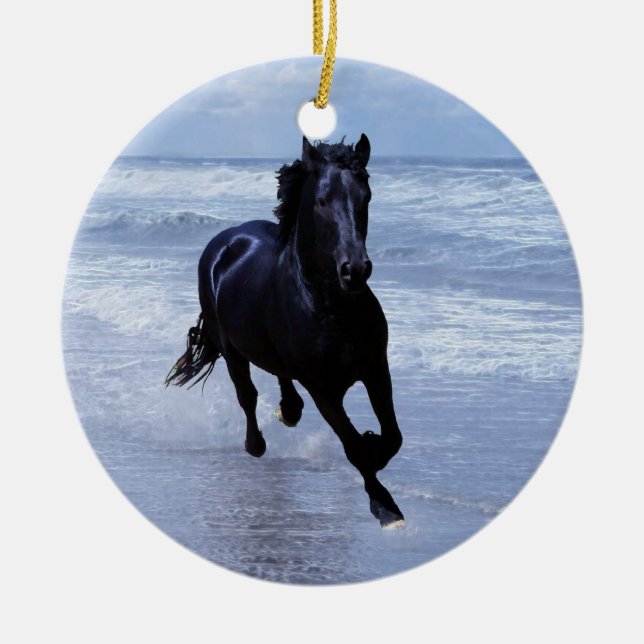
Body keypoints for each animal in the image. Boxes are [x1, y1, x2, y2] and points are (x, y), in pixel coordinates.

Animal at [165, 135, 404, 528]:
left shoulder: (376, 370)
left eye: (366, 196)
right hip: (230, 347)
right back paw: (256, 444)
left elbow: (393, 437)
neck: (329, 306)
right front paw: (385, 508)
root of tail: (225, 240)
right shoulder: (324, 390)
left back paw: (289, 411)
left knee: (280, 376)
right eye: (322, 200)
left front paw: (376, 449)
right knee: (246, 395)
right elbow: (353, 446)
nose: (355, 270)